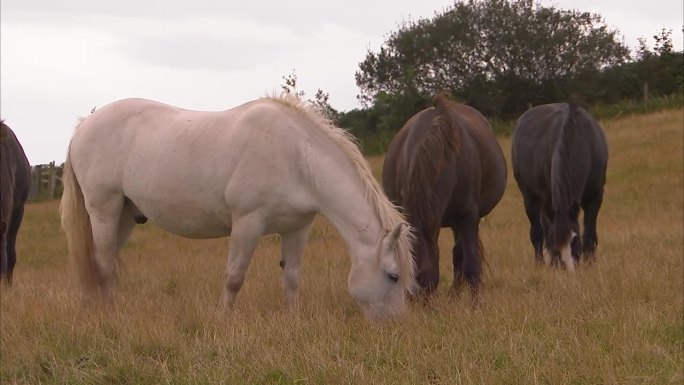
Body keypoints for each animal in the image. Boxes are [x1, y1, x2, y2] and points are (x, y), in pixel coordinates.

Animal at [61, 94, 416, 318]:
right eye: (394, 276)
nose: (396, 327)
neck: (297, 158)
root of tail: (82, 127)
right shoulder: (248, 223)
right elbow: (234, 277)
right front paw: (222, 319)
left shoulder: (298, 227)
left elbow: (292, 277)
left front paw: (292, 321)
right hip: (104, 209)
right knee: (103, 263)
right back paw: (113, 315)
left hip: (123, 215)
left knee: (104, 261)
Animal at [512, 102, 608, 270]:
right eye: (555, 244)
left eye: (574, 240)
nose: (564, 268)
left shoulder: (595, 196)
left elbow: (590, 234)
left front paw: (590, 263)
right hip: (530, 197)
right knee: (537, 232)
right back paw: (539, 262)